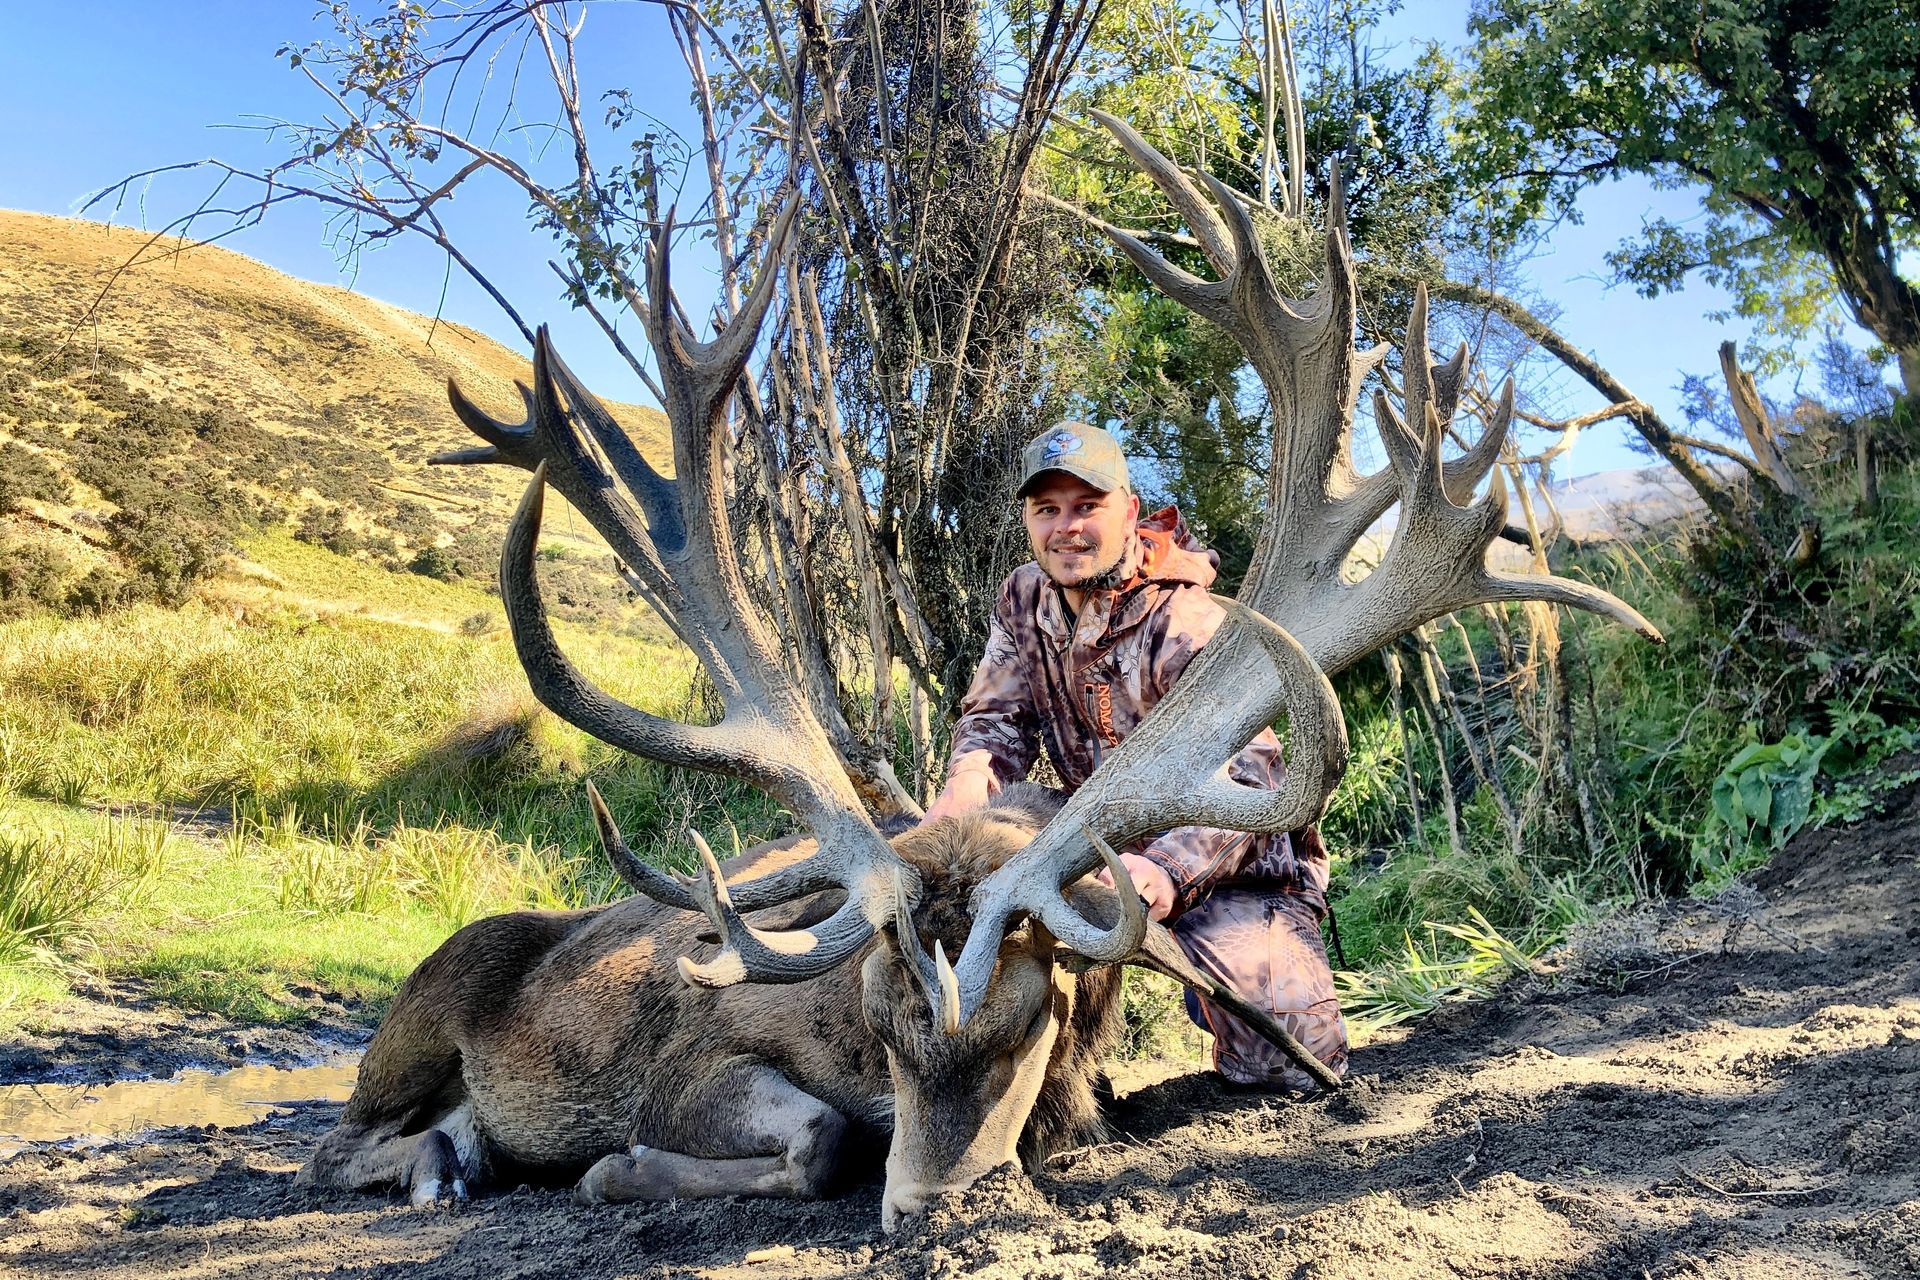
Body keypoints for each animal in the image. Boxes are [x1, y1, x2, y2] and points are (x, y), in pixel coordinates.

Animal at [296, 115, 1657, 1231]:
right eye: (878, 1016)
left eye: (1037, 1010)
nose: (939, 1203)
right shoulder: (703, 1053)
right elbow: (817, 1139)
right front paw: (620, 1164)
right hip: (413, 1018)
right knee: (335, 1141)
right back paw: (442, 1163)